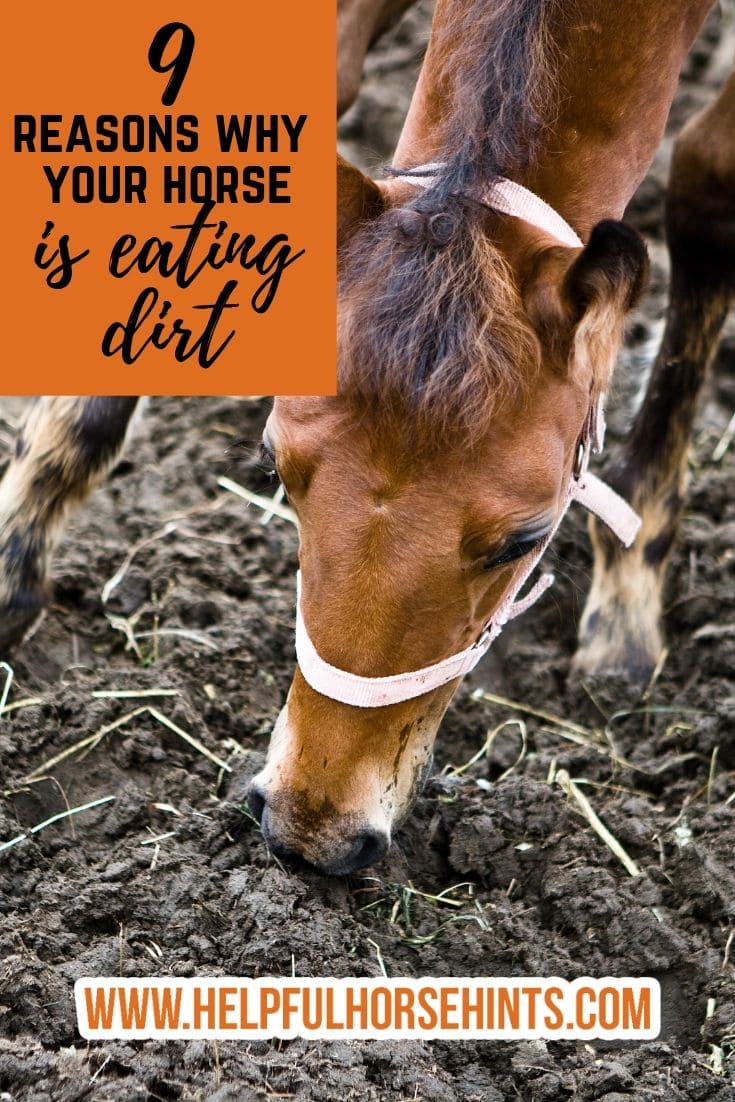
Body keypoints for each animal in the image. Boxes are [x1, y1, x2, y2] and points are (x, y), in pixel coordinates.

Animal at [1, 0, 732, 877]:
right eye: (274, 471)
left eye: (523, 539)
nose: (311, 831)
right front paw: (14, 550)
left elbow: (707, 184)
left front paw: (628, 592)